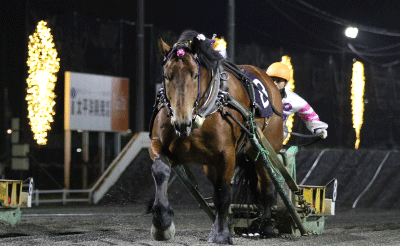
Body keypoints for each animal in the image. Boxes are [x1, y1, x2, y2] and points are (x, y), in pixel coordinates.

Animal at [149, 30, 284, 244]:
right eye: (167, 76)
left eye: (195, 75)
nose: (181, 121)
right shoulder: (159, 145)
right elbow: (161, 172)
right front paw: (162, 224)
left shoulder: (225, 155)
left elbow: (223, 193)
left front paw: (221, 234)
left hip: (264, 151)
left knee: (266, 187)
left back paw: (267, 227)